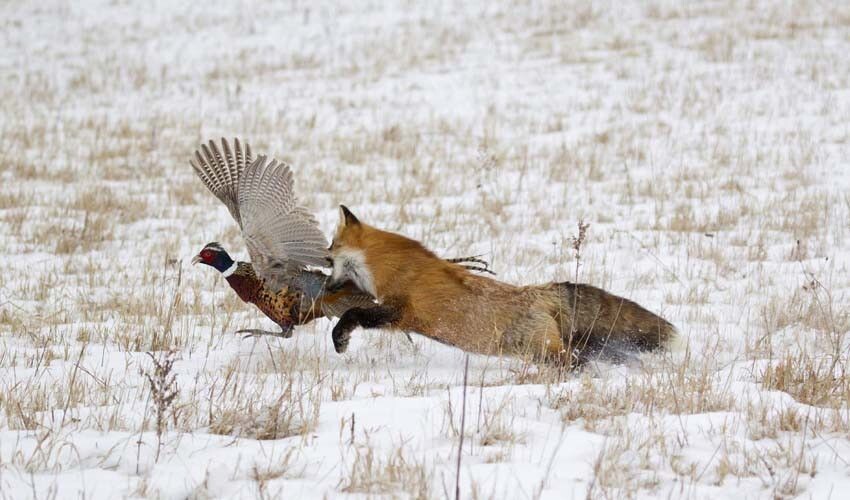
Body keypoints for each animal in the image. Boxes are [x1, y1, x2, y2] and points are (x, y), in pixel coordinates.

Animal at [324, 205, 676, 366]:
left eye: (329, 256)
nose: (326, 286)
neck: (392, 266)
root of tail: (542, 291)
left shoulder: (400, 311)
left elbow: (353, 314)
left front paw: (340, 339)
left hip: (545, 352)